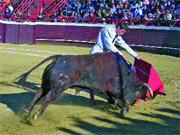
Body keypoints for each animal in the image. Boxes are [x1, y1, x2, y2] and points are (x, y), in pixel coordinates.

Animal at [16, 52, 153, 119]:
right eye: (137, 92)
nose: (133, 102)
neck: (124, 74)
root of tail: (58, 58)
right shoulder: (116, 90)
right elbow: (122, 99)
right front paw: (125, 110)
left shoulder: (109, 91)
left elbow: (113, 99)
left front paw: (118, 106)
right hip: (58, 87)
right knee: (48, 98)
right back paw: (36, 115)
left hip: (45, 85)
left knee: (38, 93)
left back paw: (27, 112)